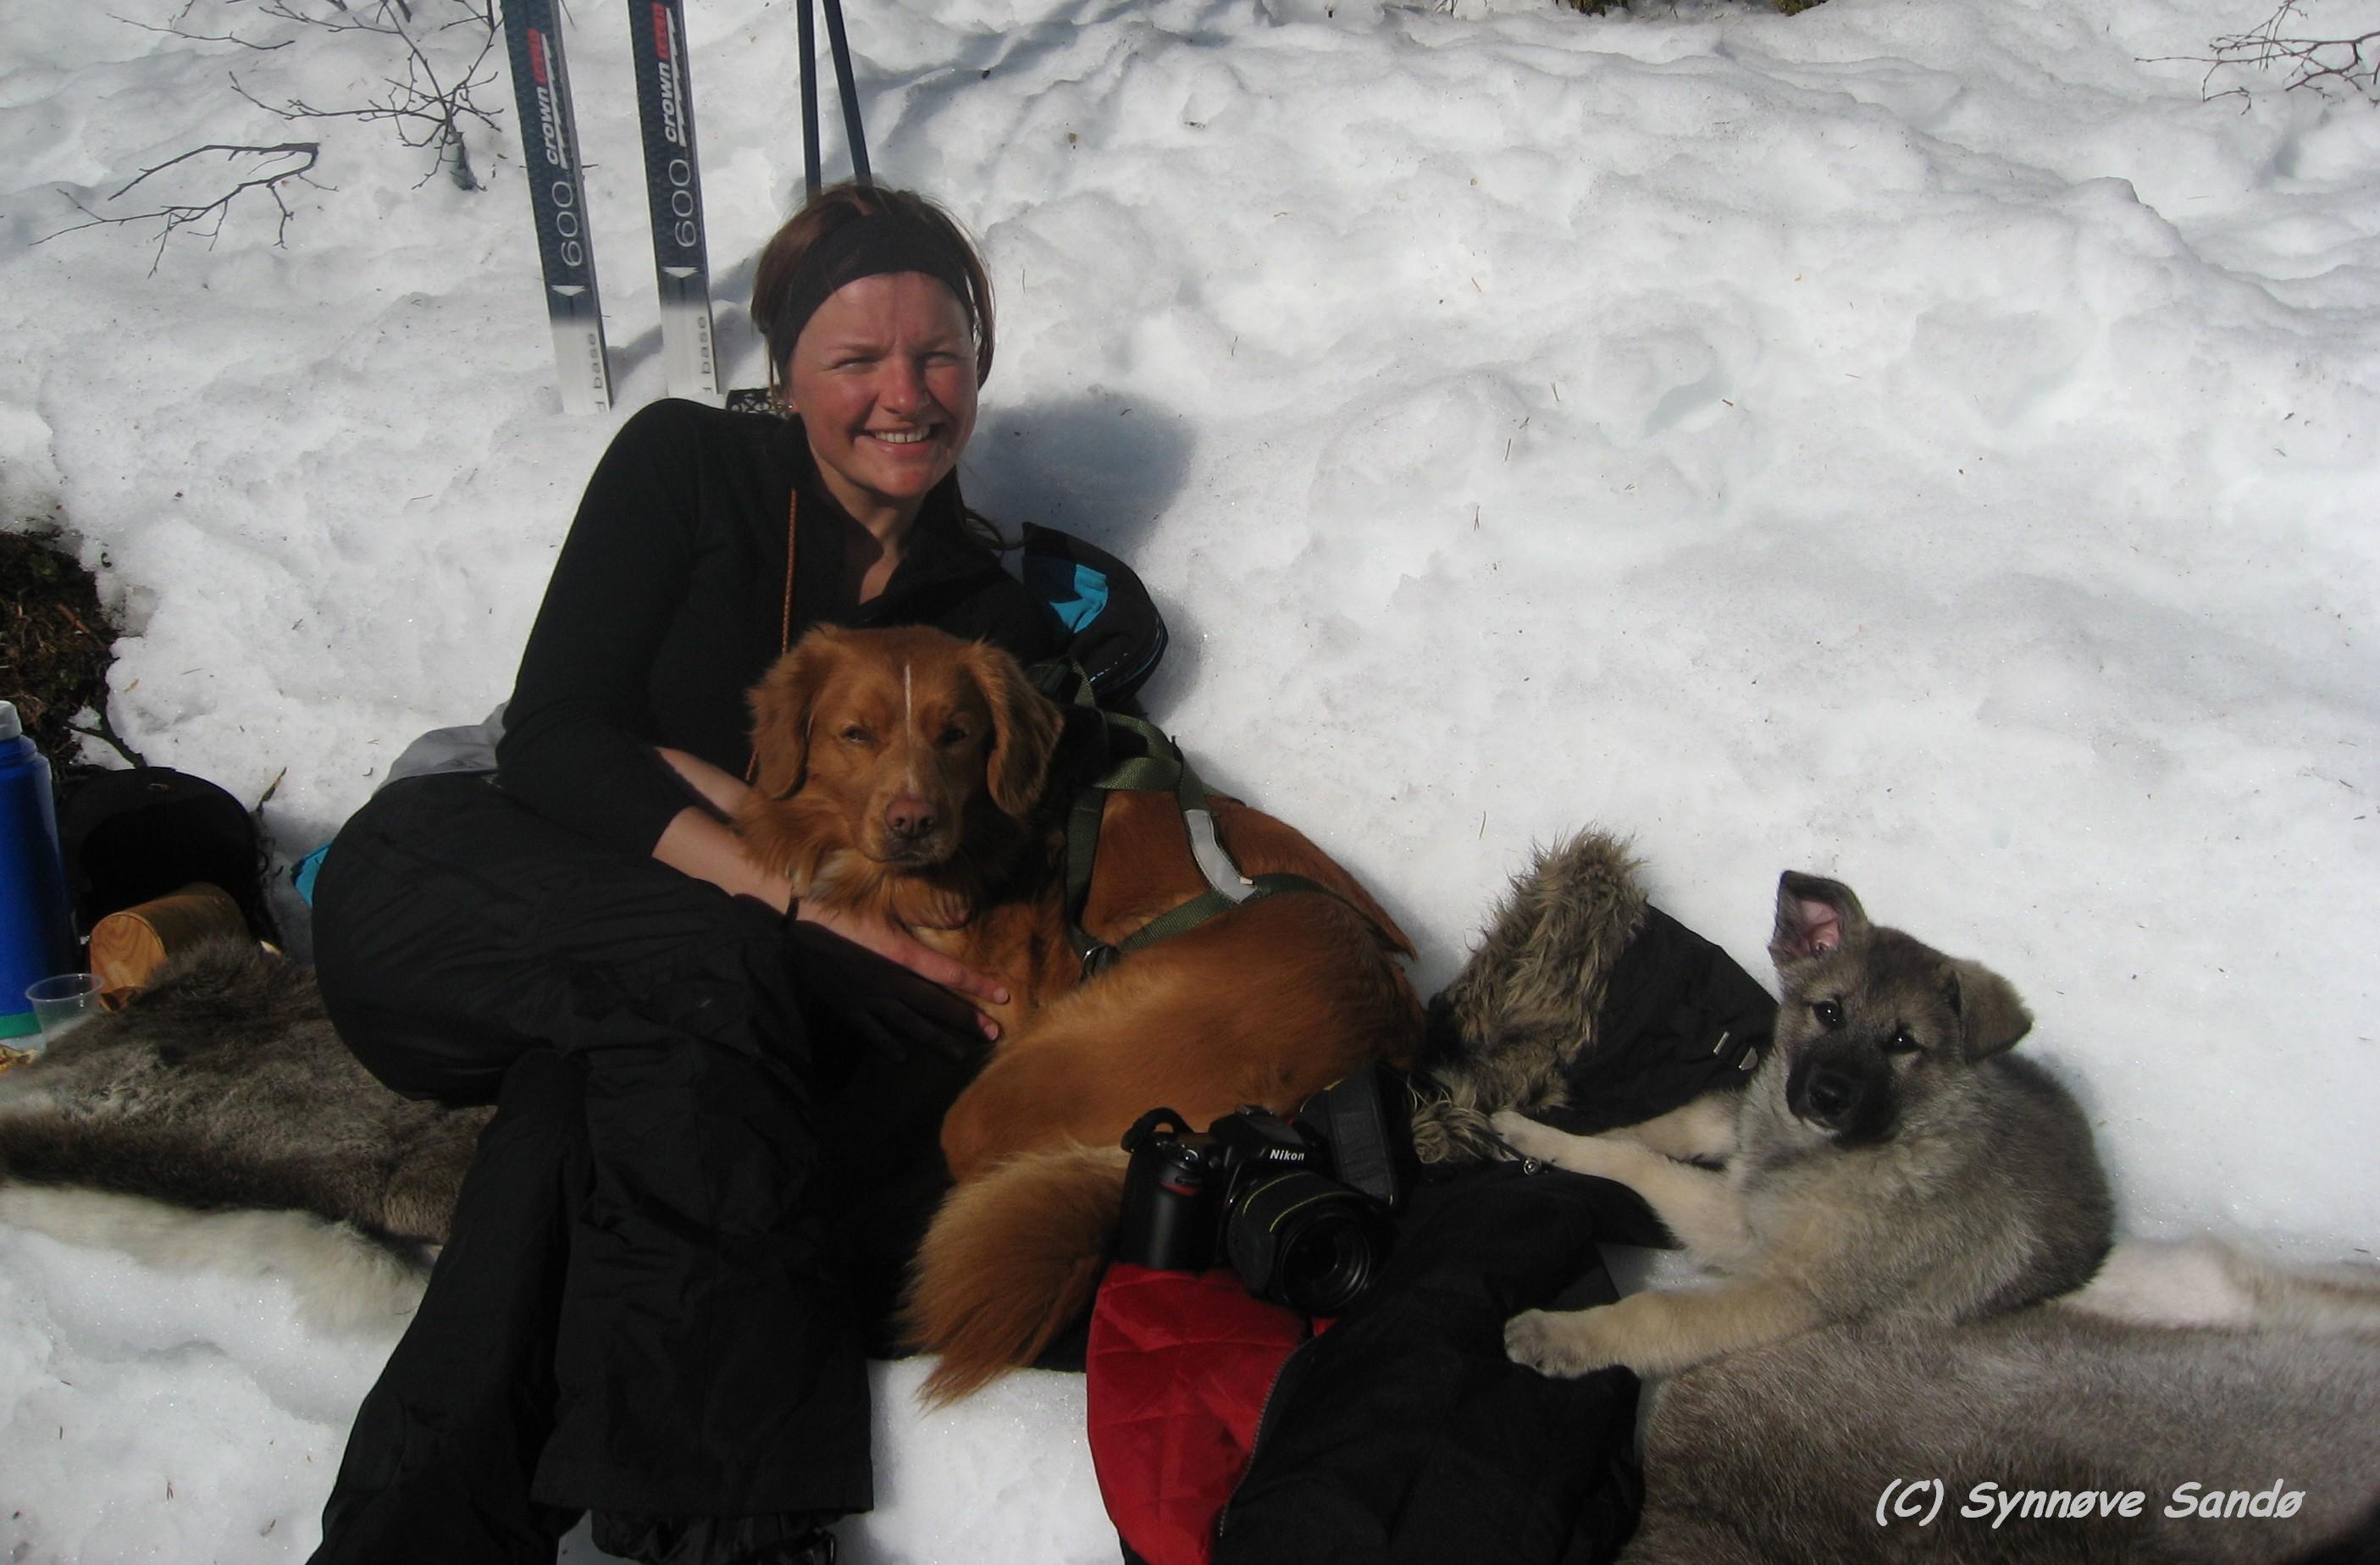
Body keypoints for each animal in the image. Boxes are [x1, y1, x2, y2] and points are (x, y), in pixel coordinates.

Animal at [1494, 870, 2113, 1369]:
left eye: (1903, 1042)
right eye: (1829, 1011)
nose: (1828, 1097)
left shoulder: (1784, 1282)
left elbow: (1657, 1294)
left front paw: (1558, 1335)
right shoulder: (1750, 1140)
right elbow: (1651, 1138)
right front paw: (1539, 1136)